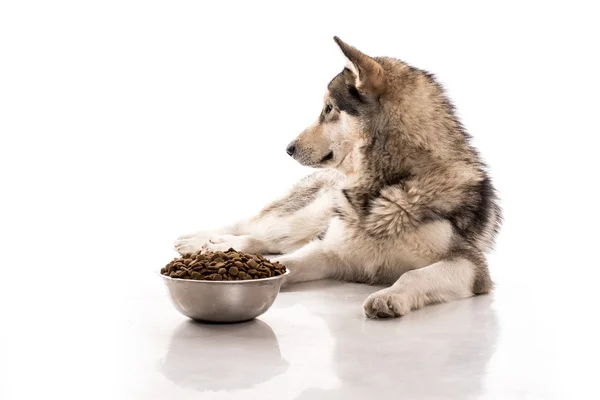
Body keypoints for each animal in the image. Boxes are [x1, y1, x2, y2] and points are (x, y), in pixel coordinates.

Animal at [175, 37, 502, 318]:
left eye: (328, 108)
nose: (288, 148)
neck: (387, 186)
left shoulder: (470, 265)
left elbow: (414, 275)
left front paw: (390, 296)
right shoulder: (331, 250)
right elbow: (285, 262)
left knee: (265, 238)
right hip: (306, 217)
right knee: (259, 229)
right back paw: (206, 242)